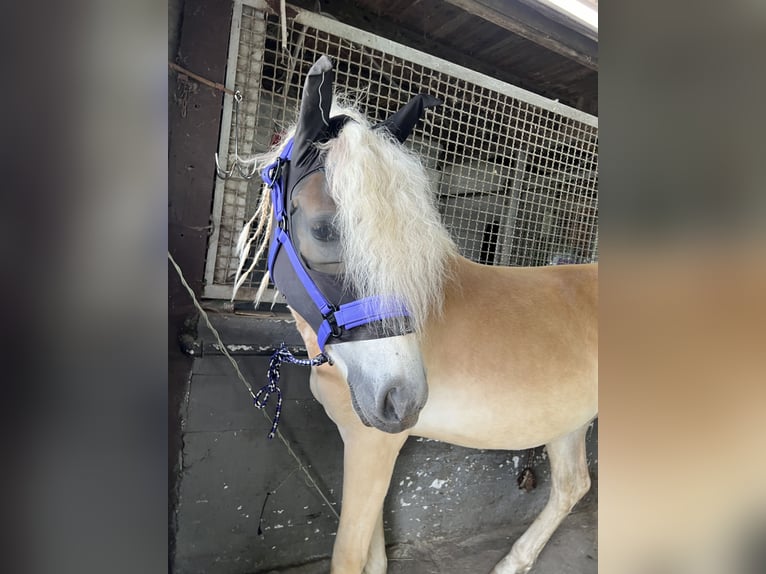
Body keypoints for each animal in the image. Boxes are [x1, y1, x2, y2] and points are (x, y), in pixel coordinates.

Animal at [234, 55, 600, 574]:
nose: (402, 400)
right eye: (324, 228)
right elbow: (372, 554)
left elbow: (349, 555)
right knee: (573, 485)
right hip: (569, 422)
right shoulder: (367, 441)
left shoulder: (374, 445)